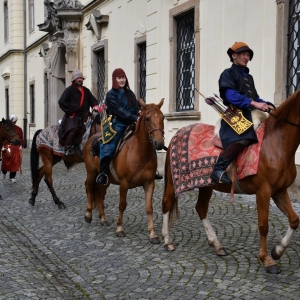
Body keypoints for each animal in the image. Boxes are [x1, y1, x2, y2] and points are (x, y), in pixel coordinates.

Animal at [83, 98, 165, 244]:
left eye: (163, 117)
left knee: (100, 194)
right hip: (91, 172)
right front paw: (119, 229)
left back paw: (103, 218)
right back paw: (88, 214)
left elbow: (149, 208)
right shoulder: (124, 184)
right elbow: (122, 205)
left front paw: (153, 234)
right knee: (88, 186)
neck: (139, 152)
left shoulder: (149, 183)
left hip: (105, 180)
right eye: (147, 119)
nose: (159, 143)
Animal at [162, 89, 300, 274]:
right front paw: (266, 259)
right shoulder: (263, 191)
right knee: (167, 203)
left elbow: (294, 220)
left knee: (201, 209)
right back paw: (167, 240)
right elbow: (263, 225)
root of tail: (176, 135)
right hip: (173, 182)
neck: (276, 143)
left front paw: (277, 251)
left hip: (206, 185)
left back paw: (217, 245)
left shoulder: (279, 191)